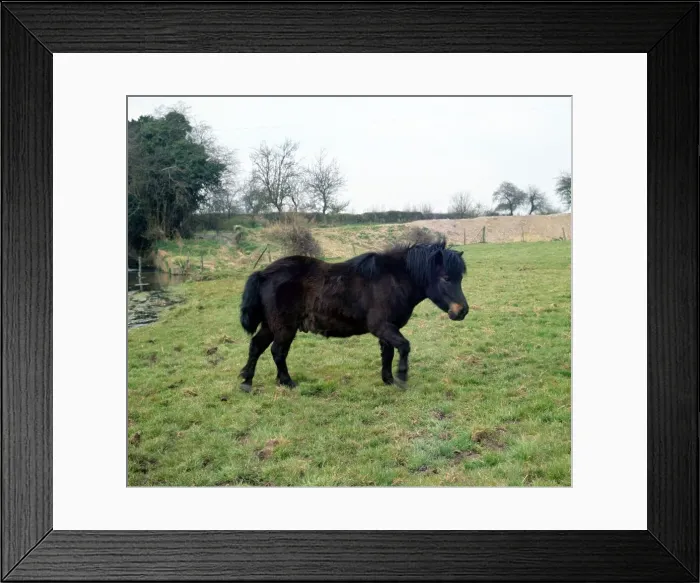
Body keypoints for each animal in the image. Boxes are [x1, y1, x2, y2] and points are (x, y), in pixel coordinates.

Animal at [238, 238, 469, 392]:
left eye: (460, 278)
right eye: (446, 278)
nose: (462, 311)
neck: (392, 280)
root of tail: (263, 274)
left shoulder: (388, 329)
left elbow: (388, 353)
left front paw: (388, 379)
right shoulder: (381, 326)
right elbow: (404, 346)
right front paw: (402, 377)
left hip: (270, 325)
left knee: (256, 346)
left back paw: (247, 381)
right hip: (284, 327)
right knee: (278, 351)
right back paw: (287, 381)